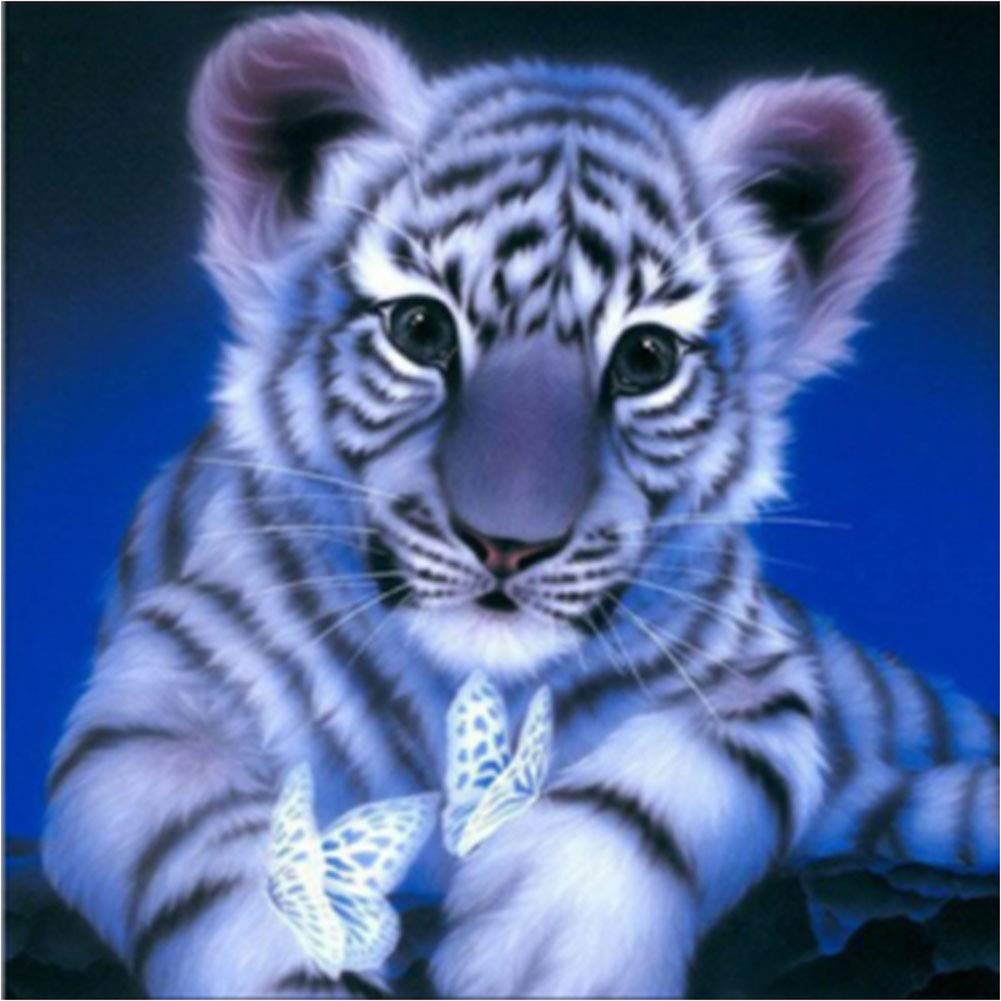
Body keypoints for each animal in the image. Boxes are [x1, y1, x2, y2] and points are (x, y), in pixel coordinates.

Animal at [41, 11, 998, 999]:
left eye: (646, 357)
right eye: (419, 328)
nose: (507, 544)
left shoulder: (757, 682)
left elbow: (653, 791)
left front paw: (550, 946)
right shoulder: (155, 699)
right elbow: (226, 854)